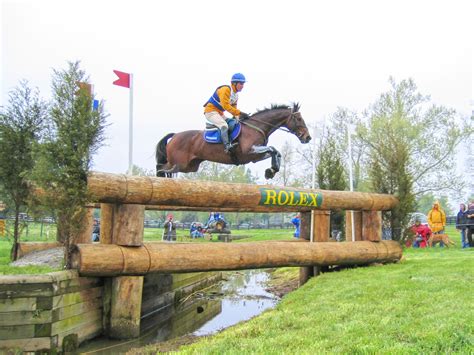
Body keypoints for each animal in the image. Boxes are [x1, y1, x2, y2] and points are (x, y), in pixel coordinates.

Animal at [155, 103, 312, 181]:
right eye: (299, 119)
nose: (307, 137)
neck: (257, 127)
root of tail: (175, 135)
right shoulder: (250, 150)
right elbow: (273, 149)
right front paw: (271, 170)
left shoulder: (255, 156)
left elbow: (275, 152)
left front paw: (271, 171)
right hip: (179, 164)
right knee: (162, 168)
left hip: (190, 166)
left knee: (163, 167)